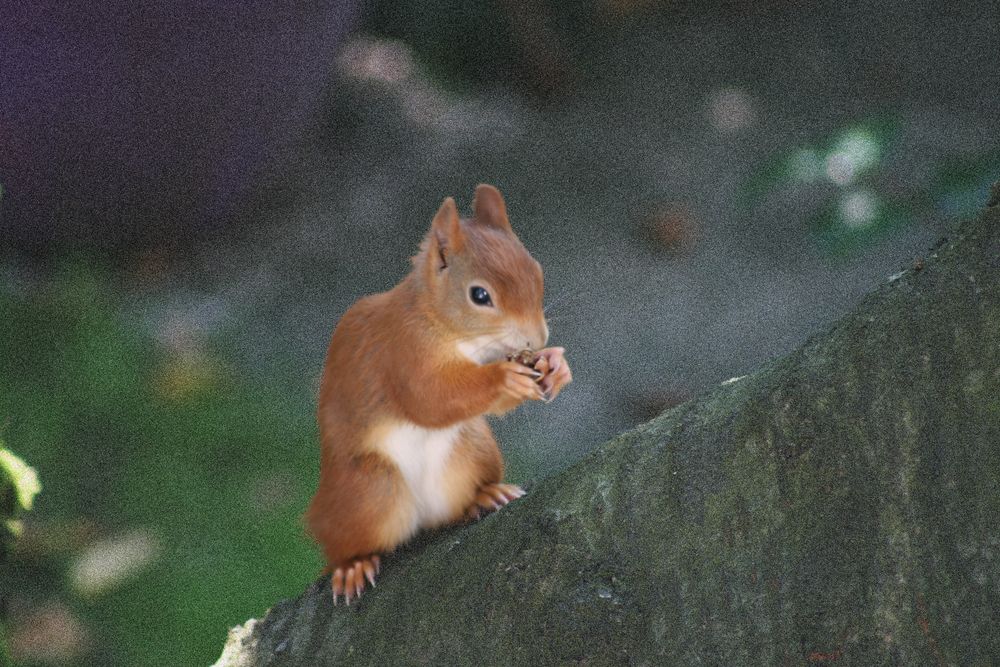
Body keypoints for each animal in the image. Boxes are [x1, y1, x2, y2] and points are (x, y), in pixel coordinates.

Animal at [304, 184, 572, 604]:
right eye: (480, 295)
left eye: (537, 270)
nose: (537, 339)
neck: (452, 331)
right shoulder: (401, 354)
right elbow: (430, 400)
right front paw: (503, 377)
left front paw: (556, 365)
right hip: (366, 491)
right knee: (341, 543)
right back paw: (352, 565)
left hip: (474, 449)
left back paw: (485, 496)